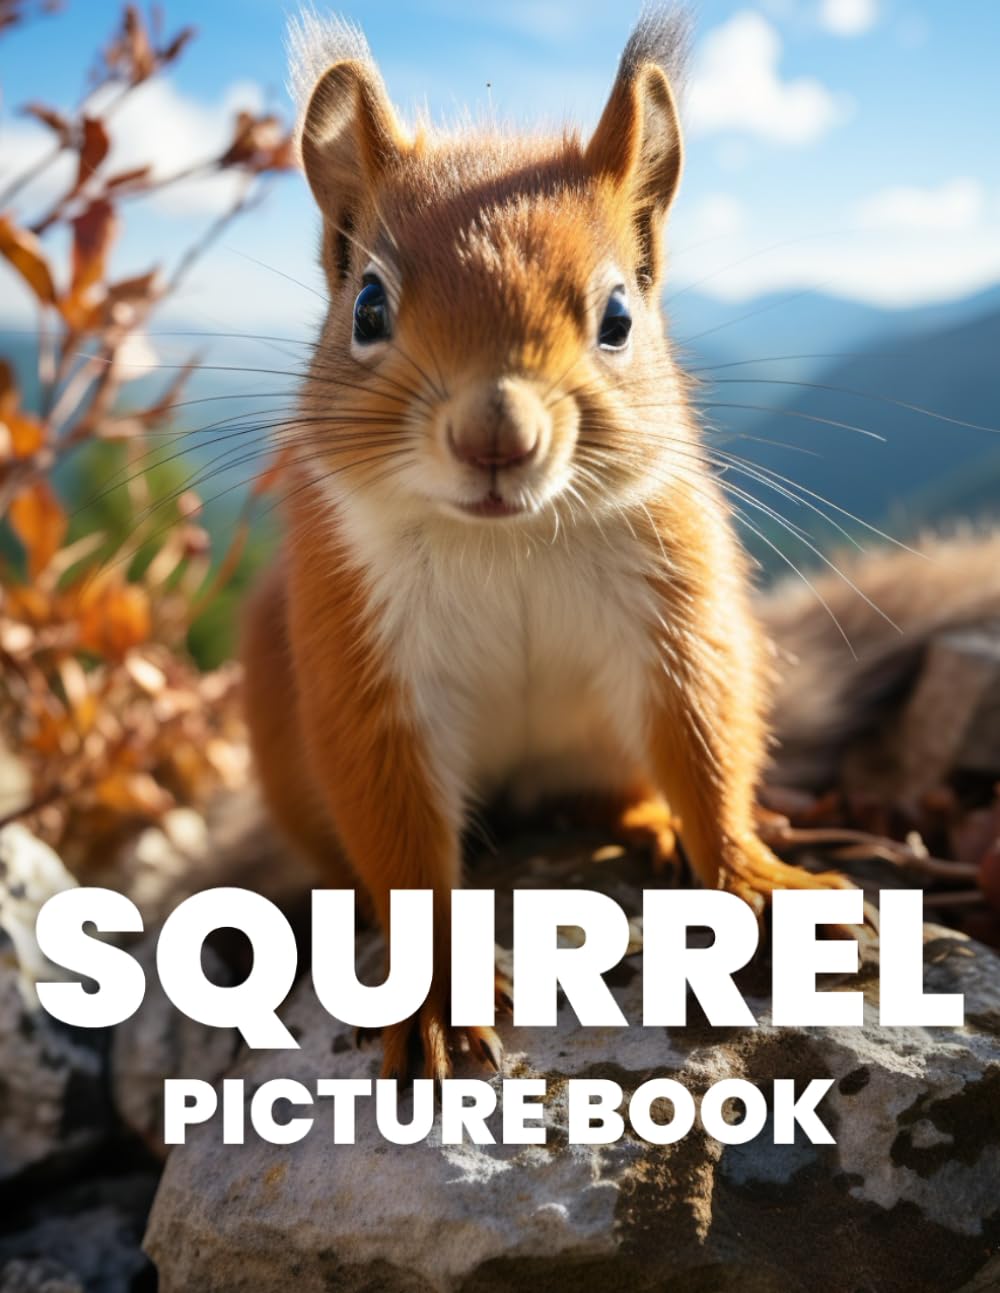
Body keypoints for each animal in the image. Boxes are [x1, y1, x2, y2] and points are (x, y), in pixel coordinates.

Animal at [240, 10, 1000, 1079]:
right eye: (369, 307)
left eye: (617, 317)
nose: (496, 438)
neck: (506, 542)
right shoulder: (360, 658)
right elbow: (397, 832)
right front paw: (430, 998)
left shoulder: (675, 609)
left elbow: (705, 745)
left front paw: (759, 883)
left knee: (621, 784)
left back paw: (646, 823)